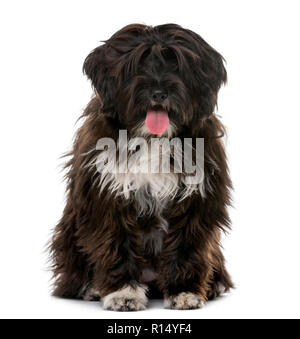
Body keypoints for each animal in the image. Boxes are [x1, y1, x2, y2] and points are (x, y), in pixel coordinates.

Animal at [50, 23, 234, 310]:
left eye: (177, 64)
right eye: (136, 65)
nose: (158, 93)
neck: (152, 139)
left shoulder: (195, 200)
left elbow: (186, 245)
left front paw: (183, 291)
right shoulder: (109, 198)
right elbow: (116, 244)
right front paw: (123, 292)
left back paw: (214, 284)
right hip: (69, 231)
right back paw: (90, 287)